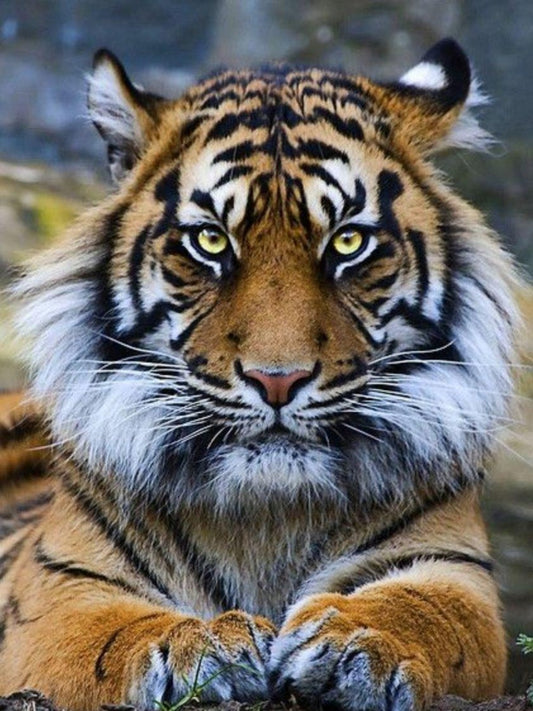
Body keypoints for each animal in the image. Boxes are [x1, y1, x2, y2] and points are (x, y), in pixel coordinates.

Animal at [0, 37, 520, 710]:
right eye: (210, 242)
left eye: (347, 242)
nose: (278, 380)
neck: (267, 515)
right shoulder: (56, 587)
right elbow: (103, 632)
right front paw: (199, 643)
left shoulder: (455, 571)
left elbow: (427, 612)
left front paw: (355, 640)